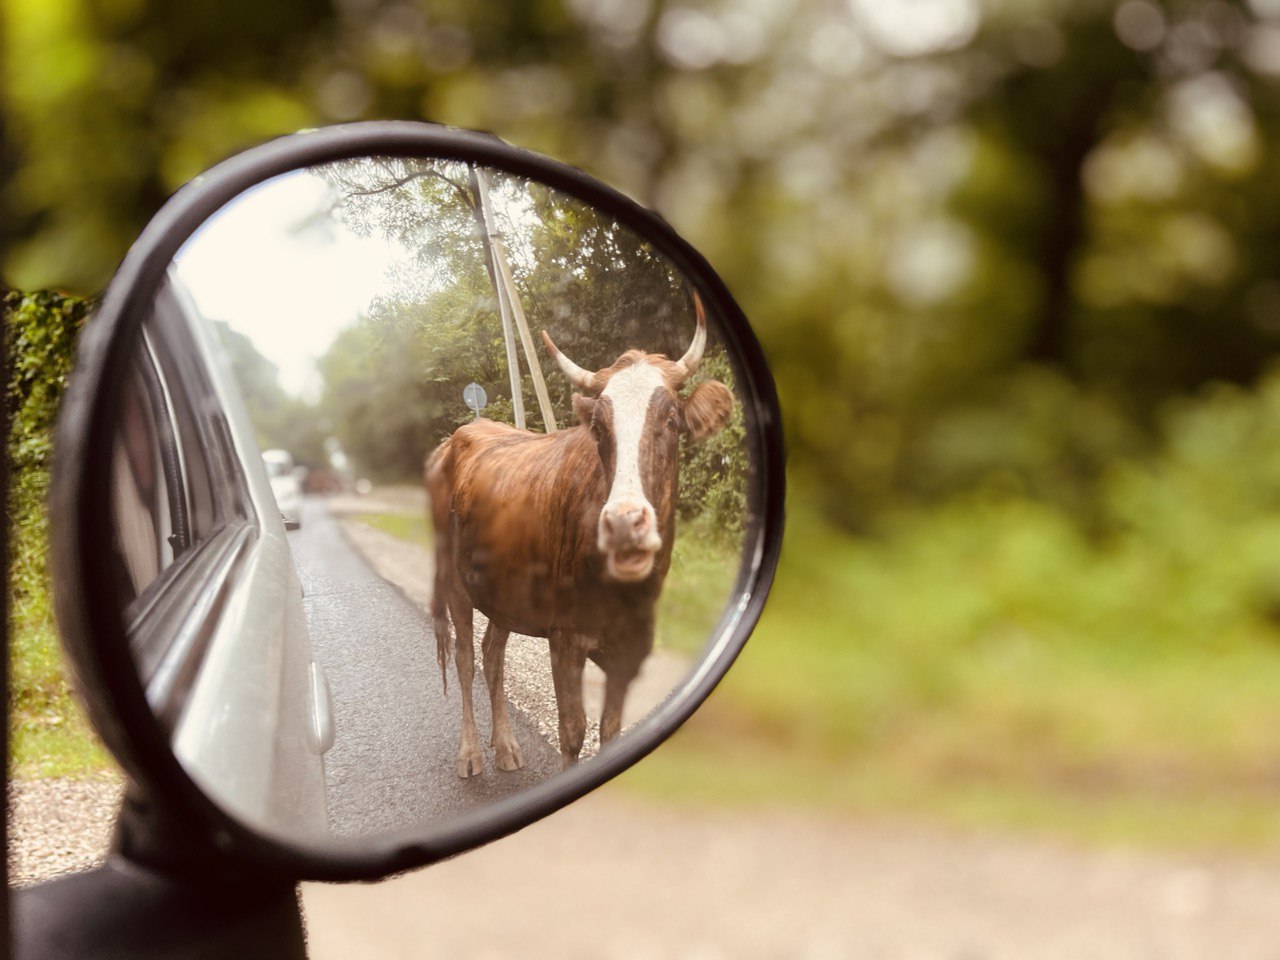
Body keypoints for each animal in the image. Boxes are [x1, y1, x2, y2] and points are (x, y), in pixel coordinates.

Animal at [427, 300, 737, 783]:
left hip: (503, 590)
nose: (624, 524)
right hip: (457, 585)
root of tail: (458, 436)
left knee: (492, 653)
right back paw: (471, 752)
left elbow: (609, 731)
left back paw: (507, 746)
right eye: (599, 429)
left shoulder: (630, 646)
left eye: (671, 421)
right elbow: (572, 731)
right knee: (464, 659)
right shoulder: (565, 638)